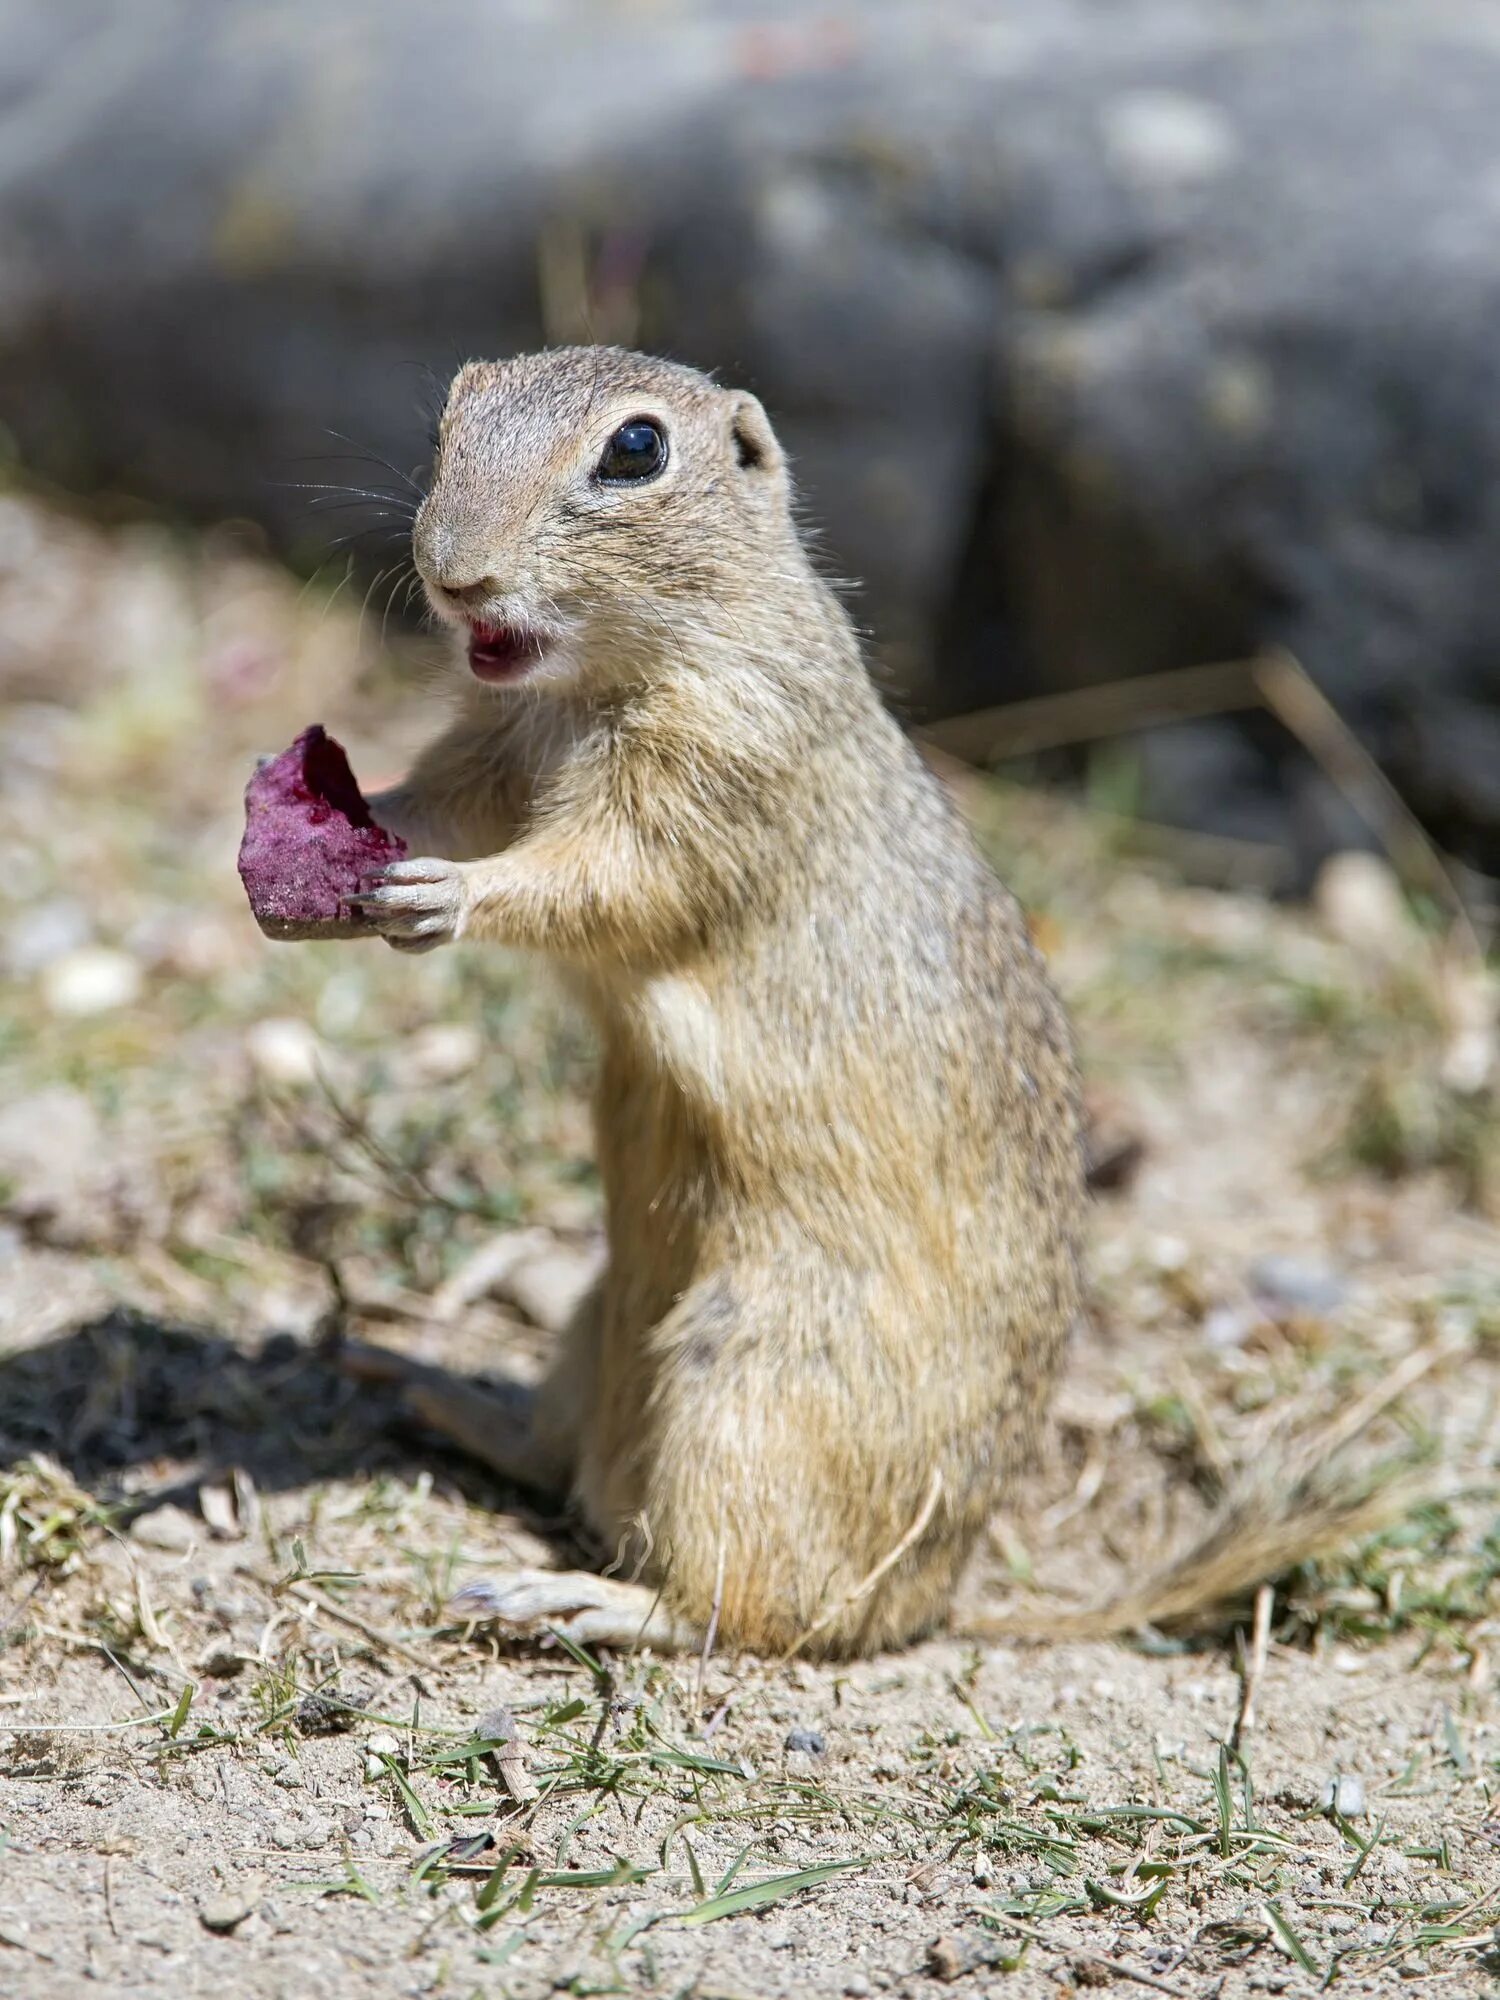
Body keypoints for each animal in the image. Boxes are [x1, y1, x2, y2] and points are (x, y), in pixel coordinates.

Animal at [346, 348, 1080, 1656]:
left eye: (635, 450)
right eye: (448, 414)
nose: (453, 571)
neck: (592, 679)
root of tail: (932, 1601)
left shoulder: (713, 775)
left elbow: (596, 879)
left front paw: (447, 894)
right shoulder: (489, 755)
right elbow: (435, 797)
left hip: (746, 1385)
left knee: (735, 1606)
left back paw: (568, 1594)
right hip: (599, 1324)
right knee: (561, 1459)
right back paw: (434, 1393)